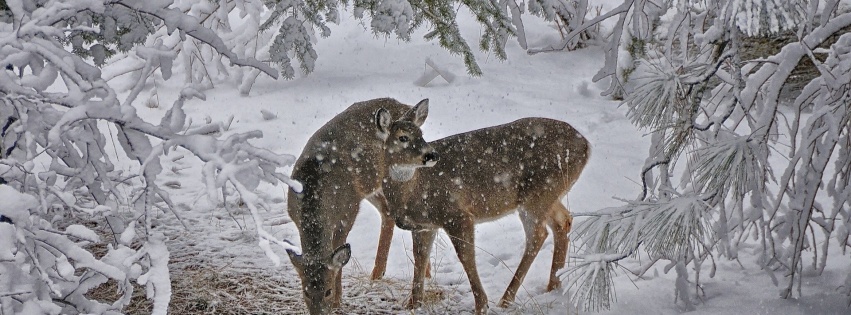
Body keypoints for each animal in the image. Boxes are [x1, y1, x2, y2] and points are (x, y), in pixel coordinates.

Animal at [290, 97, 442, 314]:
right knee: (387, 212)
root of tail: (404, 106)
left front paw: (338, 300)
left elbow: (339, 255)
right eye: (306, 292)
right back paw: (378, 274)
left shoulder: (349, 210)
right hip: (372, 186)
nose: (319, 312)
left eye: (327, 291)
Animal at [386, 117, 592, 314]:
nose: (431, 156)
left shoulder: (457, 214)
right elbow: (420, 257)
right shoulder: (424, 225)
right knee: (563, 220)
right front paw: (413, 304)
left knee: (538, 235)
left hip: (538, 194)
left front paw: (481, 305)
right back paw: (553, 286)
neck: (412, 190)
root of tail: (586, 145)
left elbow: (465, 255)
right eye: (402, 137)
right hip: (549, 195)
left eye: (419, 134)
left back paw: (506, 299)